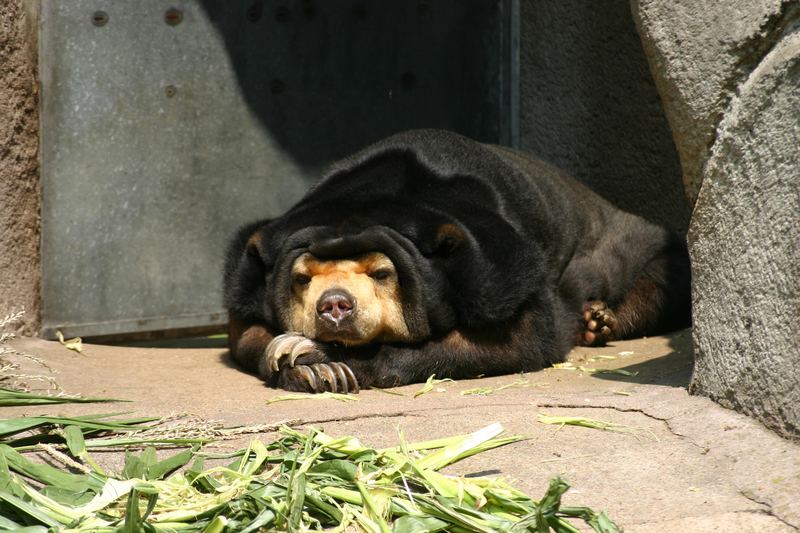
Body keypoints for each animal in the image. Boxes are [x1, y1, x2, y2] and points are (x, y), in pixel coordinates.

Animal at [222, 130, 692, 390]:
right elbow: (245, 330)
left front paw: (323, 360)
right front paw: (303, 364)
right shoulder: (246, 272)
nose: (335, 304)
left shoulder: (500, 270)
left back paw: (599, 321)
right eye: (302, 278)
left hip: (620, 238)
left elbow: (524, 337)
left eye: (382, 273)